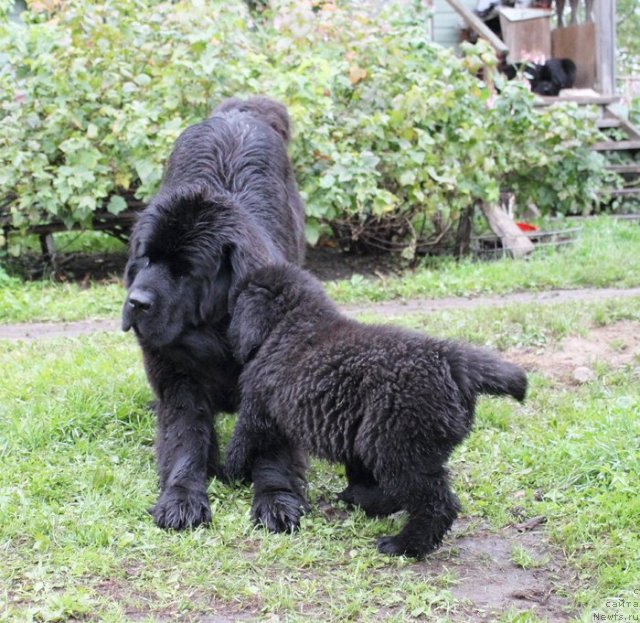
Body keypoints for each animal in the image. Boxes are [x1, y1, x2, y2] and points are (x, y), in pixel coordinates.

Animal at [124, 96, 308, 532]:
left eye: (184, 271)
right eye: (145, 258)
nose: (135, 302)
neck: (216, 335)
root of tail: (239, 112)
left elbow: (273, 448)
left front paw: (276, 497)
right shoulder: (177, 378)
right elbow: (184, 437)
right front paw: (181, 496)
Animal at [224, 266, 524, 560]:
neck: (292, 321)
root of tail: (453, 363)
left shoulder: (257, 409)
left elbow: (242, 440)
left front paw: (229, 471)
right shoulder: (352, 430)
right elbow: (359, 472)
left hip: (399, 448)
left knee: (437, 504)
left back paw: (404, 545)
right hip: (398, 443)